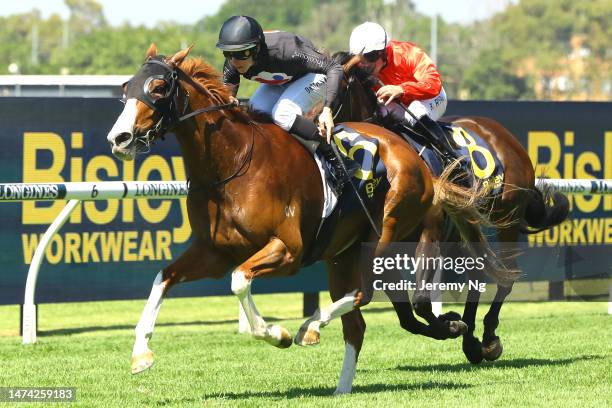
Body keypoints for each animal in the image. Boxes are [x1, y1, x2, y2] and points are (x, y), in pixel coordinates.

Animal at [107, 45, 498, 396]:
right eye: (126, 87)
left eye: (158, 87)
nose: (119, 138)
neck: (233, 163)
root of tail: (417, 160)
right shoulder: (214, 252)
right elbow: (164, 278)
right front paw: (141, 353)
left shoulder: (288, 250)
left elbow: (239, 281)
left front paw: (276, 333)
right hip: (343, 255)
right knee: (357, 323)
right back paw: (342, 387)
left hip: (385, 232)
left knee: (364, 291)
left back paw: (310, 327)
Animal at [332, 53, 572, 364]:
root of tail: (504, 135)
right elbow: (406, 316)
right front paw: (452, 322)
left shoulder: (430, 230)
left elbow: (421, 302)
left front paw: (451, 323)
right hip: (461, 225)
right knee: (477, 272)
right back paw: (472, 340)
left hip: (506, 216)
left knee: (505, 275)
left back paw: (488, 337)